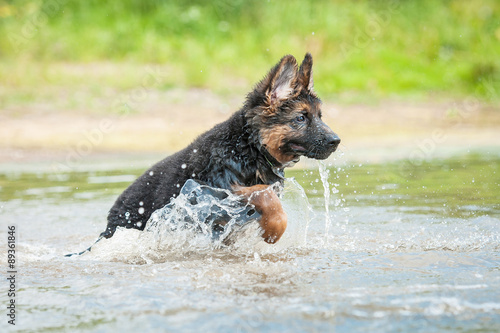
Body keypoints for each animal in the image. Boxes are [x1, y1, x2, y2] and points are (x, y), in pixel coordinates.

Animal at [104, 53, 342, 243]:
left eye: (320, 116)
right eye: (301, 118)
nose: (336, 141)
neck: (249, 147)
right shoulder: (215, 188)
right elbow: (264, 193)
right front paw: (274, 229)